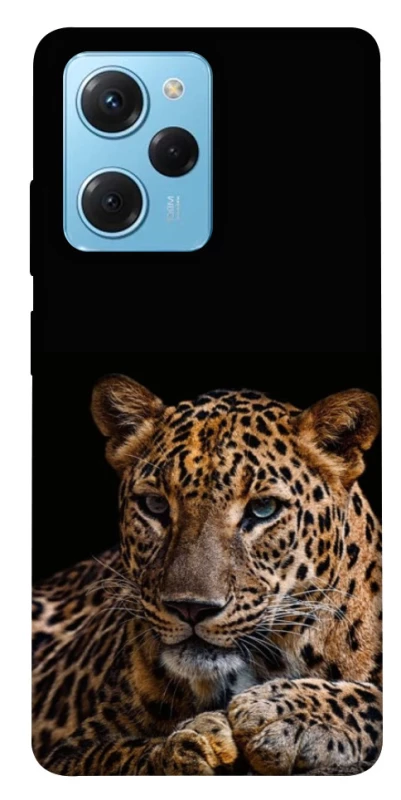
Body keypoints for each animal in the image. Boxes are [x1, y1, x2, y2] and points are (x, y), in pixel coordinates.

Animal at [32, 375, 382, 775]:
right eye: (155, 505)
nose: (191, 608)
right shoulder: (69, 752)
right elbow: (123, 757)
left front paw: (281, 713)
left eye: (263, 509)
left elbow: (374, 699)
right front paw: (187, 746)